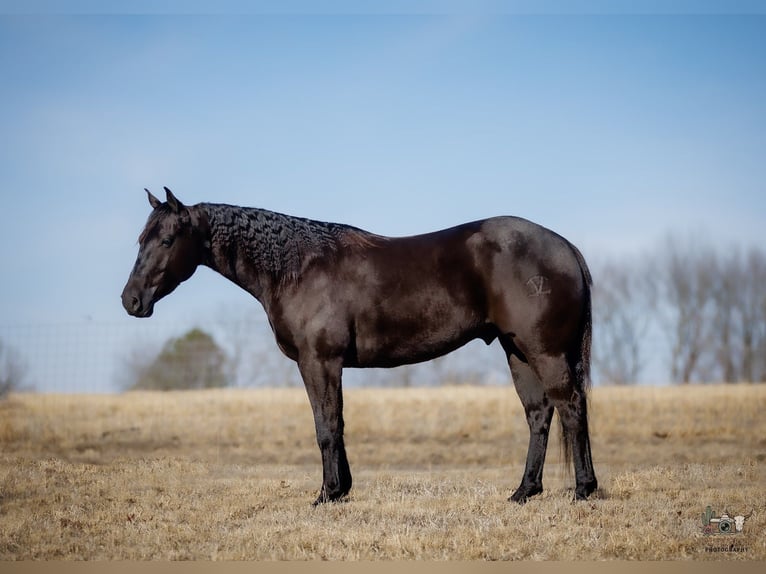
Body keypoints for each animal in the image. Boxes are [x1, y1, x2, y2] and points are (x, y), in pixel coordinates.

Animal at [121, 187, 598, 505]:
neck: (297, 268)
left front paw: (327, 494)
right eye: (140, 240)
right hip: (516, 351)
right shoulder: (328, 365)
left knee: (571, 407)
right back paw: (524, 492)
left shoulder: (320, 361)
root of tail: (564, 247)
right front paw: (341, 490)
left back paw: (584, 490)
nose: (131, 301)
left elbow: (326, 426)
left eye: (167, 240)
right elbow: (336, 424)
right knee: (539, 414)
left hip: (544, 351)